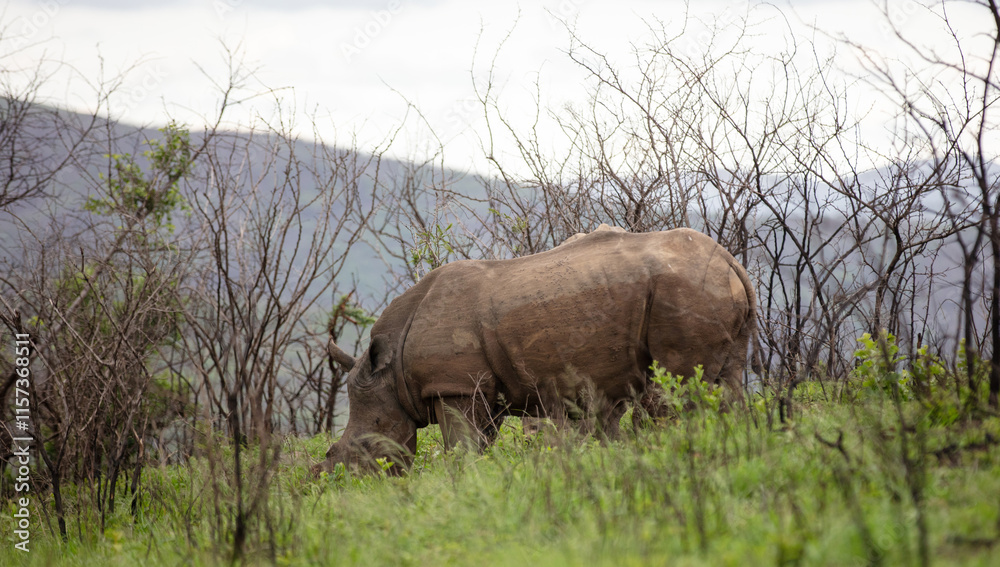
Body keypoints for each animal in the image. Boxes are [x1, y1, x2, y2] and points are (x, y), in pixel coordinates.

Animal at [316, 227, 758, 474]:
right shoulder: (481, 390)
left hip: (685, 288)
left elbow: (460, 446)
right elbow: (479, 443)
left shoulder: (453, 385)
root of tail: (731, 261)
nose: (339, 482)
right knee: (727, 381)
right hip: (706, 290)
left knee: (674, 389)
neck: (389, 372)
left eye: (366, 448)